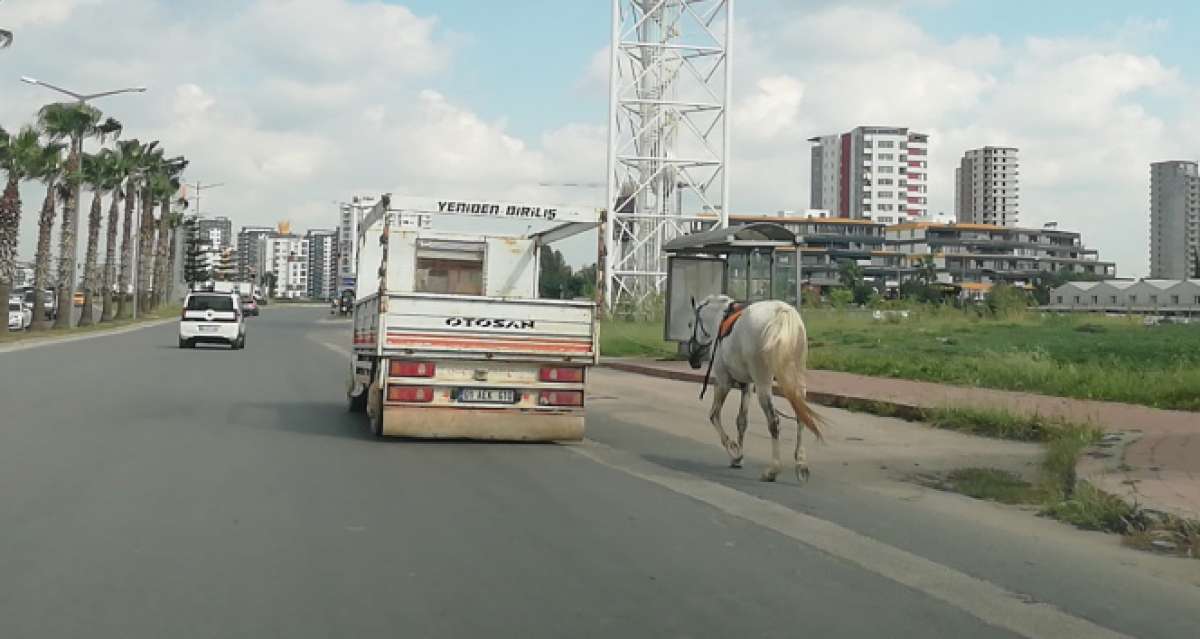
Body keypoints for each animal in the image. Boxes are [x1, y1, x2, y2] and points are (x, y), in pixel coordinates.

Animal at [686, 296, 825, 482]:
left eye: (690, 324)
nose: (693, 360)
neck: (719, 318)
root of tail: (782, 313)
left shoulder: (723, 381)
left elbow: (714, 415)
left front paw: (734, 451)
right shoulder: (748, 385)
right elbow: (741, 421)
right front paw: (738, 455)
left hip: (763, 383)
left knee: (774, 422)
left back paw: (773, 469)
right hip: (796, 380)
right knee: (800, 417)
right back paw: (801, 464)